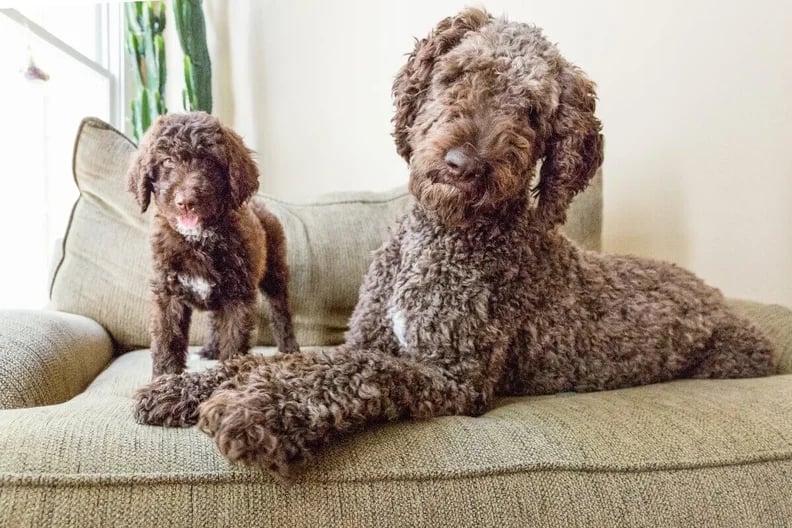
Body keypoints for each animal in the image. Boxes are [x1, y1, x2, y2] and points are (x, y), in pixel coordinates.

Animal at [127, 112, 300, 376]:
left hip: (275, 269)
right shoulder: (168, 293)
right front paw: (165, 379)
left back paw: (289, 348)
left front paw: (227, 375)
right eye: (167, 161)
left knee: (281, 310)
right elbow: (167, 340)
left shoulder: (238, 296)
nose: (186, 202)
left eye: (209, 161)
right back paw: (210, 348)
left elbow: (234, 342)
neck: (198, 240)